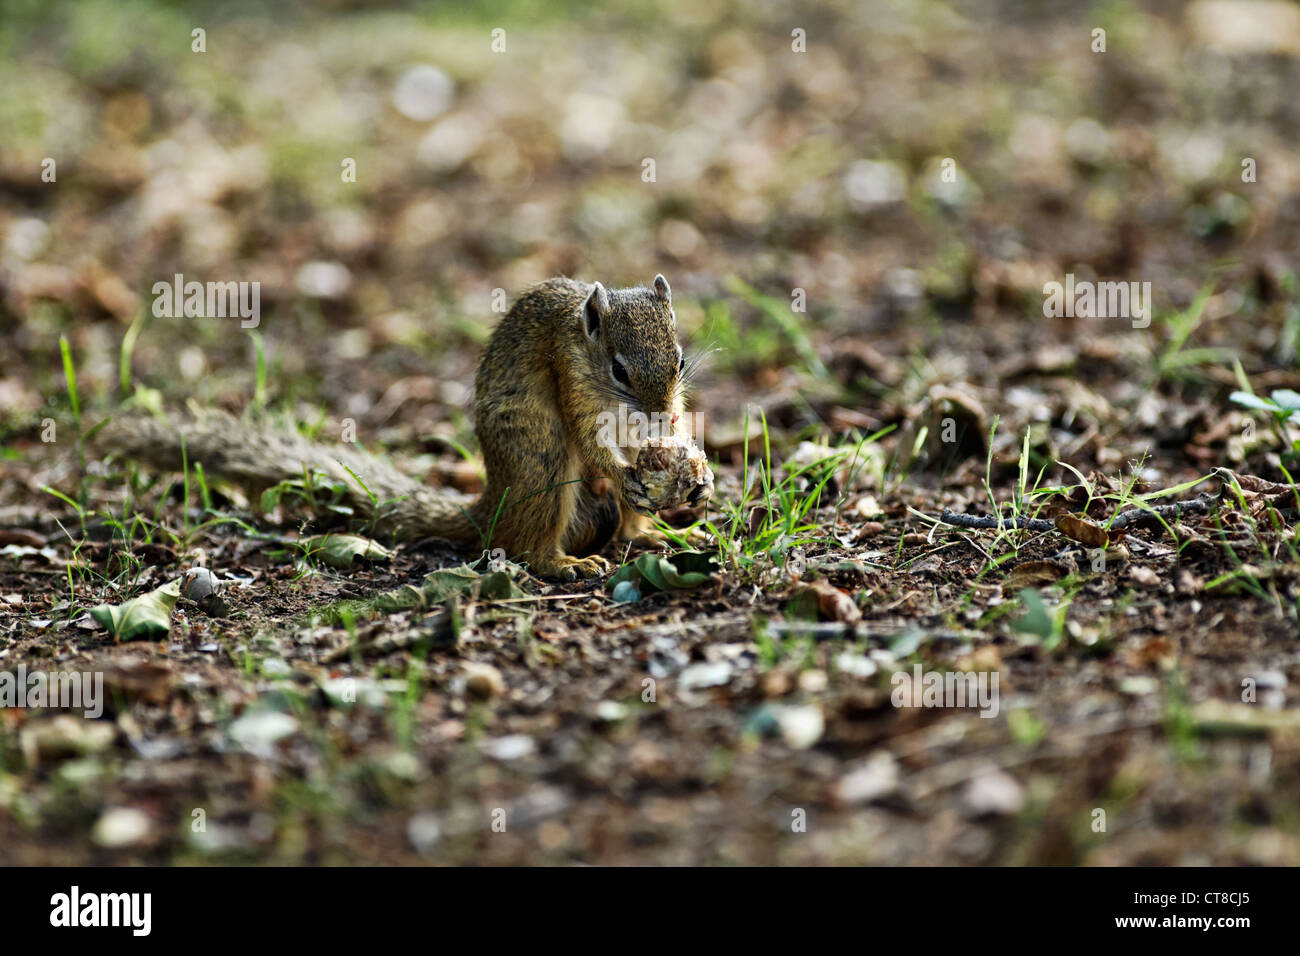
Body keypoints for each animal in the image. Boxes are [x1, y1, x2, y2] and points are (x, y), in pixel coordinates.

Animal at [98, 273, 712, 580]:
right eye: (619, 370)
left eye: (680, 360)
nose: (663, 413)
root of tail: (490, 507)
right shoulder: (572, 379)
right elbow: (592, 439)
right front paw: (629, 472)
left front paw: (692, 469)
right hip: (541, 463)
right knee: (525, 546)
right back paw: (565, 564)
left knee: (622, 528)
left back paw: (656, 533)